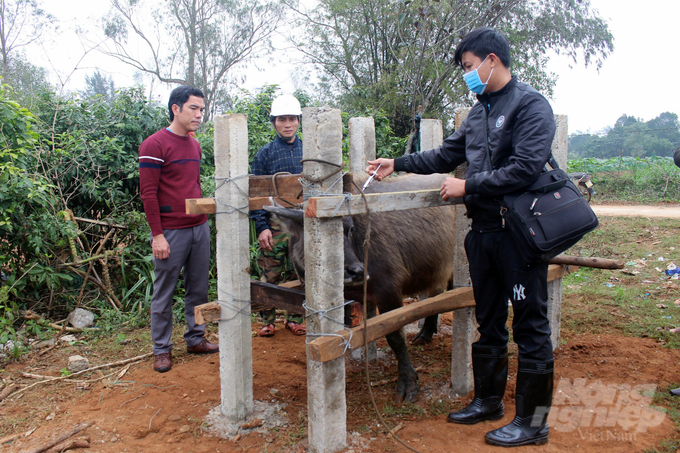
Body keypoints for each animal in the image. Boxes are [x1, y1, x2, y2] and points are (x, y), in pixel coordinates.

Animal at [266, 173, 456, 402]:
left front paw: (408, 381)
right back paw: (427, 332)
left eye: (349, 229)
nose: (356, 271)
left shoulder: (388, 292)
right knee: (437, 294)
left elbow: (395, 337)